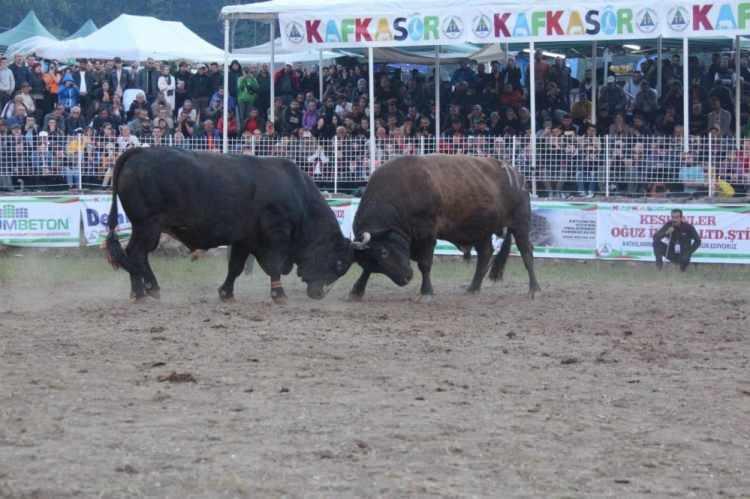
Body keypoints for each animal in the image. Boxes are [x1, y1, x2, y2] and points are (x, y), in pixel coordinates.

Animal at [104, 145, 354, 302]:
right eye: (339, 263)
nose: (319, 293)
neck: (297, 194)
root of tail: (141, 151)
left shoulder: (245, 239)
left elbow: (235, 266)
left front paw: (226, 293)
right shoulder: (276, 236)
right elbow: (273, 265)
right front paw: (279, 295)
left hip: (144, 227)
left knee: (134, 254)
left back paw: (138, 292)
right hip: (148, 226)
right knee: (136, 254)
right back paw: (148, 289)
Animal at [350, 154, 544, 298]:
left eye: (384, 252)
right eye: (372, 259)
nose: (406, 277)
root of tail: (516, 175)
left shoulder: (427, 235)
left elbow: (425, 264)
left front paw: (426, 292)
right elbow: (366, 271)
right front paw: (357, 290)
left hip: (520, 224)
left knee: (526, 252)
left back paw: (534, 289)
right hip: (481, 231)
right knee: (485, 254)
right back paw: (473, 288)